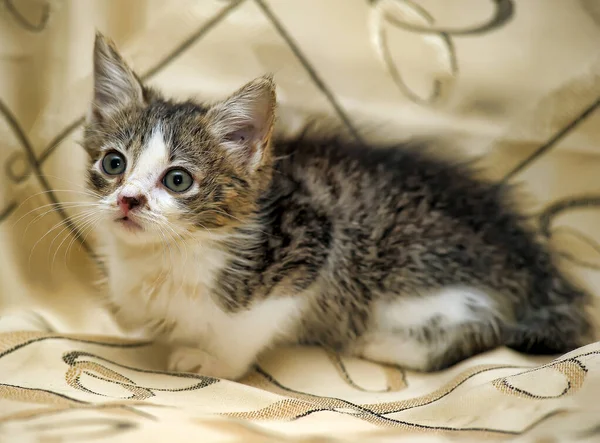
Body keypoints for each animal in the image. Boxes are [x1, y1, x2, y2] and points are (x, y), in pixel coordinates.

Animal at [82, 33, 592, 382]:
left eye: (178, 180)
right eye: (113, 163)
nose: (128, 199)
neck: (171, 251)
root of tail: (532, 264)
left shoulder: (307, 248)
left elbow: (243, 327)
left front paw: (214, 361)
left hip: (419, 286)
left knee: (486, 327)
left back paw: (384, 346)